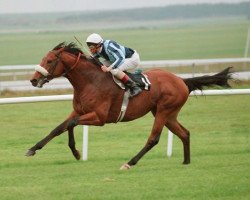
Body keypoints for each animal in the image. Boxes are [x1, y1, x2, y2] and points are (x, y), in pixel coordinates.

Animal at [26, 41, 231, 169]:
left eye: (49, 60)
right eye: (43, 59)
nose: (33, 80)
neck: (90, 81)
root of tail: (182, 81)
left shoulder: (99, 117)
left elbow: (71, 124)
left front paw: (76, 152)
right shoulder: (78, 111)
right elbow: (58, 128)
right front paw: (33, 149)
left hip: (164, 110)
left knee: (153, 139)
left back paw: (129, 163)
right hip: (167, 113)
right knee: (184, 133)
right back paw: (186, 162)